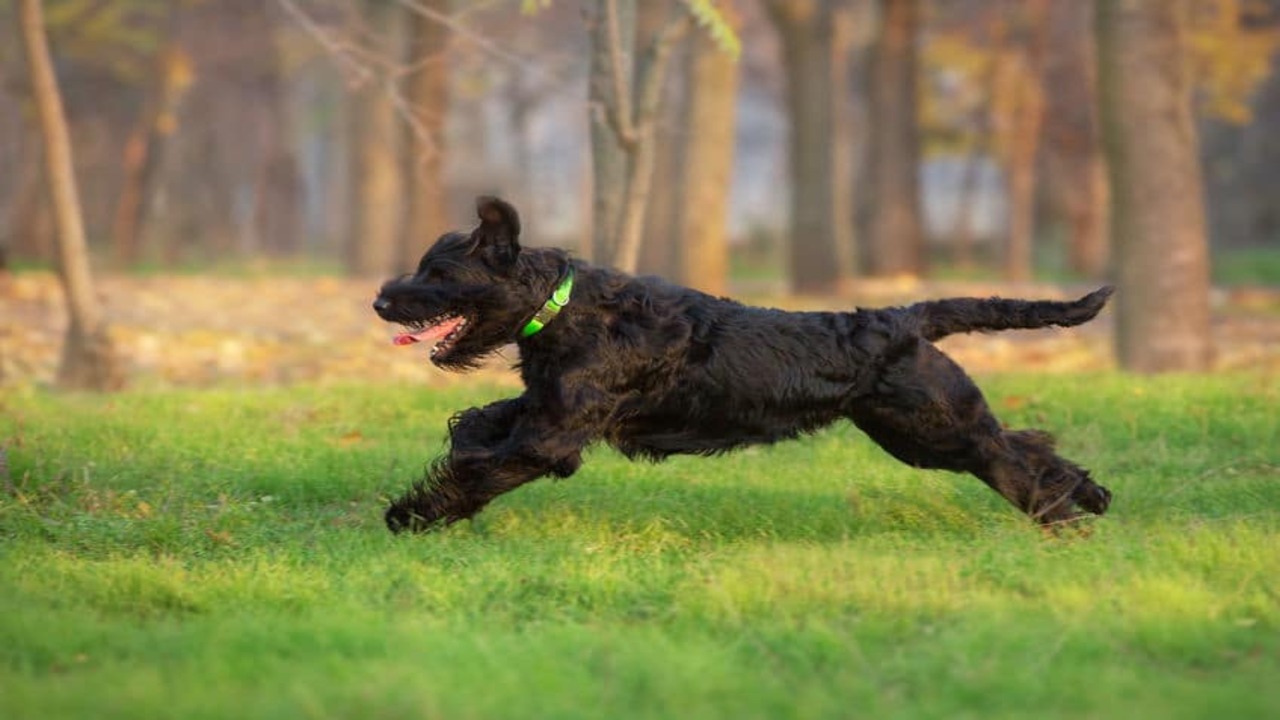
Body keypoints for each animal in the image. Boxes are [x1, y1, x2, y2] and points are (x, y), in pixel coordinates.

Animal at [373, 196, 1111, 532]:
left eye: (438, 273)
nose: (381, 299)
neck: (562, 307)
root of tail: (902, 319)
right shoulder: (544, 408)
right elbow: (482, 422)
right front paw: (459, 447)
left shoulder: (550, 437)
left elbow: (479, 471)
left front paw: (410, 514)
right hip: (917, 432)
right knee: (1025, 442)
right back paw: (1089, 495)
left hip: (932, 425)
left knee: (1007, 455)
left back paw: (1063, 518)